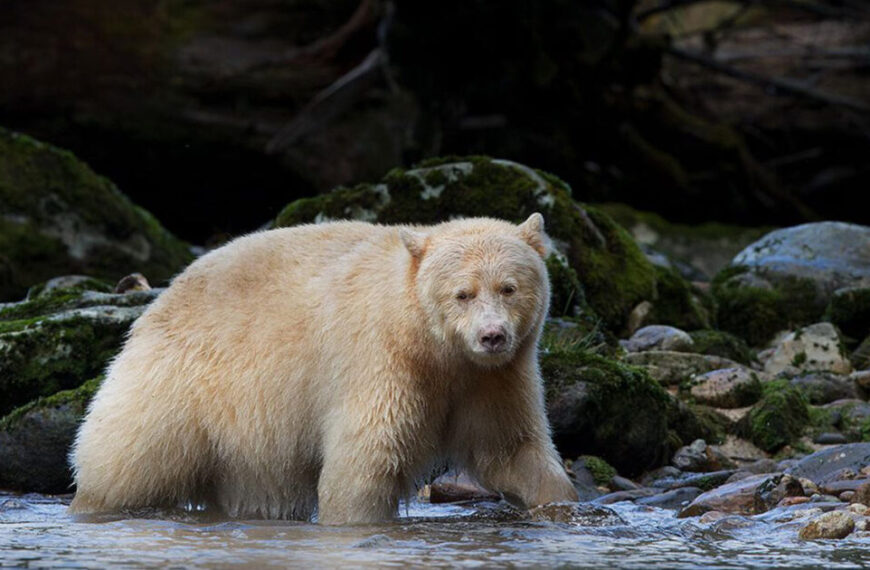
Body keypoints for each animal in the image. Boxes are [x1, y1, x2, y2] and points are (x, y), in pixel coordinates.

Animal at [69, 213, 578, 524]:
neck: (433, 347)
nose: (492, 336)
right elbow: (366, 462)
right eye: (462, 293)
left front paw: (560, 505)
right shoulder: (381, 362)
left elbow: (512, 449)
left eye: (509, 287)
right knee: (126, 462)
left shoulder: (493, 379)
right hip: (176, 388)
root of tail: (160, 301)